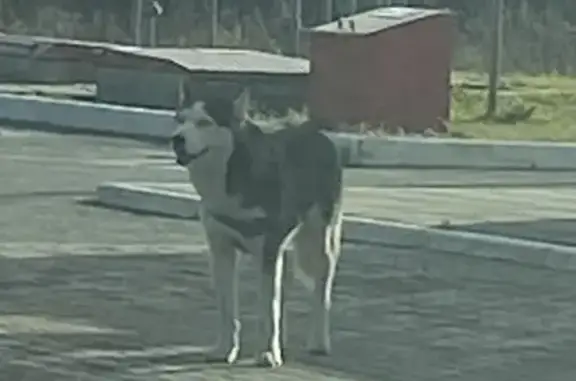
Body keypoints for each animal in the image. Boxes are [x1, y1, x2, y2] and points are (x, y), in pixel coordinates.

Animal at [170, 84, 342, 366]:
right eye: (180, 120)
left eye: (204, 122)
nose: (177, 139)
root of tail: (317, 135)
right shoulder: (221, 252)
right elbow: (227, 308)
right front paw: (225, 348)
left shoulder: (269, 253)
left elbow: (269, 309)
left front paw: (268, 353)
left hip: (318, 246)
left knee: (321, 290)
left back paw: (319, 341)